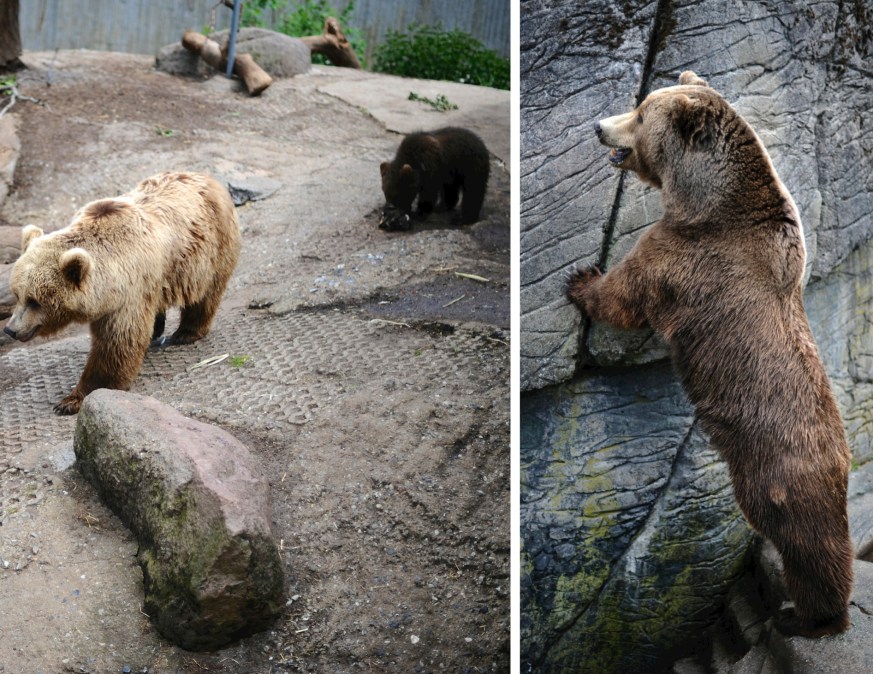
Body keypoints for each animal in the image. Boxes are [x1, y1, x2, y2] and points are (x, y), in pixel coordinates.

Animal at [3, 171, 241, 415]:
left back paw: (186, 332)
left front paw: (71, 400)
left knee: (205, 294)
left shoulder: (128, 296)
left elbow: (116, 345)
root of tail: (207, 178)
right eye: (17, 294)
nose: (10, 329)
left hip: (209, 250)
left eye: (35, 301)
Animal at [566, 71, 853, 638]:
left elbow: (630, 292)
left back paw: (806, 617)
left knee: (808, 548)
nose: (599, 126)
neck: (703, 200)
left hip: (776, 473)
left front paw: (583, 281)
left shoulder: (688, 255)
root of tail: (840, 459)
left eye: (639, 114)